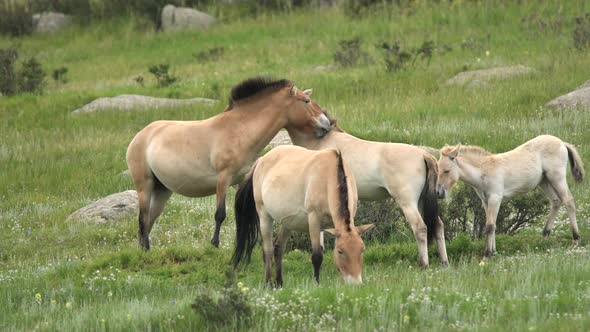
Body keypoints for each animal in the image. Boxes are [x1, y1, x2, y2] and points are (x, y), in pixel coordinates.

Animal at [126, 78, 332, 249]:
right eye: (306, 101)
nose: (327, 124)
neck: (238, 129)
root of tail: (140, 136)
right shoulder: (223, 178)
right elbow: (220, 214)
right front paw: (215, 244)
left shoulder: (241, 180)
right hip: (145, 186)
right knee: (143, 218)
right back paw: (145, 249)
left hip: (162, 190)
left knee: (149, 219)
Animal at [231, 146, 374, 288]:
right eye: (340, 251)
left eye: (362, 250)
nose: (355, 284)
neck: (328, 175)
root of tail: (261, 160)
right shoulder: (314, 218)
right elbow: (317, 256)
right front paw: (316, 285)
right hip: (264, 216)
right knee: (268, 250)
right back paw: (267, 284)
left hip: (287, 223)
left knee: (278, 248)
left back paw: (279, 284)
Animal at [286, 92, 448, 268]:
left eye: (306, 101)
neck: (320, 142)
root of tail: (424, 155)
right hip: (421, 201)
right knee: (438, 225)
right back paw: (444, 262)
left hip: (408, 202)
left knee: (420, 228)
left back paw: (424, 264)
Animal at [440, 135, 588, 256]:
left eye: (446, 170)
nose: (439, 193)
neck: (484, 170)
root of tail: (562, 142)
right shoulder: (485, 201)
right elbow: (492, 225)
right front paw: (493, 251)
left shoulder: (495, 198)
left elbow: (490, 226)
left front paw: (488, 254)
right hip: (544, 181)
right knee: (556, 201)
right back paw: (544, 237)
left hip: (556, 177)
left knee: (568, 201)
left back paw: (576, 239)